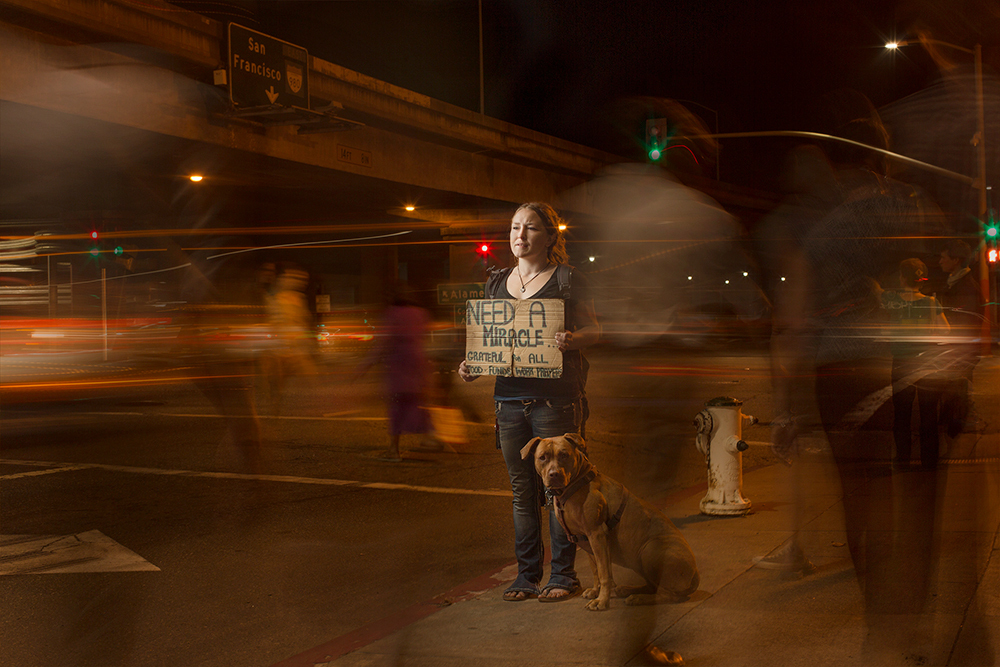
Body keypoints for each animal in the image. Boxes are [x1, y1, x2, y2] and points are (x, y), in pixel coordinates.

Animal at [520, 434, 700, 612]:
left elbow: (604, 573)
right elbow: (596, 570)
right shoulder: (585, 540)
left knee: (668, 594)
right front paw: (595, 591)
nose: (554, 474)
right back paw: (628, 590)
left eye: (564, 455)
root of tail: (695, 573)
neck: (575, 484)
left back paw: (639, 598)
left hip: (650, 550)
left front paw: (602, 600)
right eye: (542, 457)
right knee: (653, 586)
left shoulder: (597, 535)